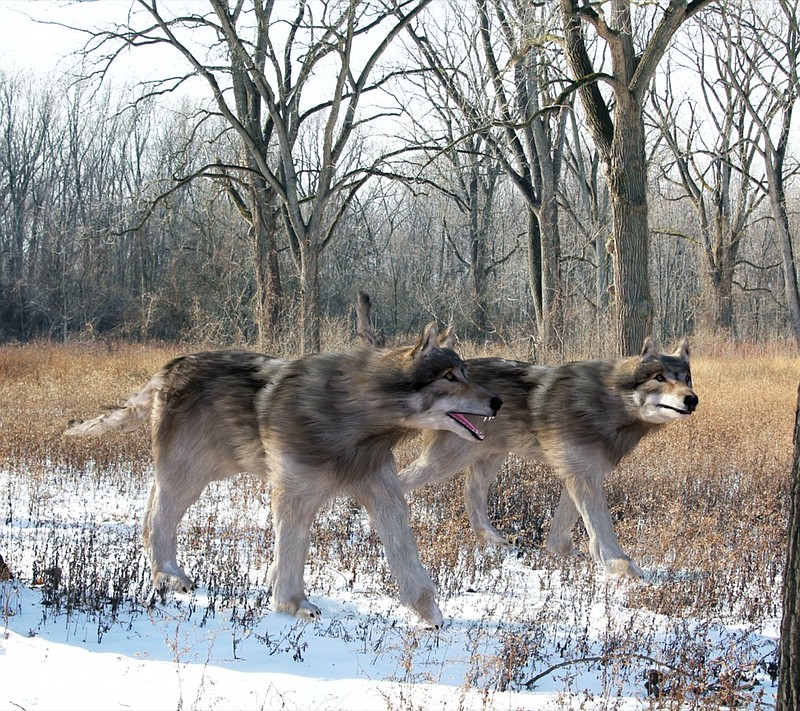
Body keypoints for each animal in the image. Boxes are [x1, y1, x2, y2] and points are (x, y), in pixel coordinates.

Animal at [65, 324, 502, 626]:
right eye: (449, 377)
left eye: (466, 372)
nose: (498, 401)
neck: (356, 415)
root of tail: (168, 368)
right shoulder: (292, 496)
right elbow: (293, 551)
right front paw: (292, 605)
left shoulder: (385, 495)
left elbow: (405, 554)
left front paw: (430, 614)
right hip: (188, 478)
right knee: (160, 520)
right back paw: (168, 577)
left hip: (198, 474)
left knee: (150, 512)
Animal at [398, 338, 698, 579]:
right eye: (659, 378)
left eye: (686, 378)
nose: (692, 399)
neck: (608, 403)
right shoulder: (583, 476)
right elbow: (602, 529)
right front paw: (621, 567)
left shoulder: (581, 473)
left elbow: (564, 525)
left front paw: (562, 553)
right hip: (446, 462)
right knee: (401, 480)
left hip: (489, 457)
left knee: (471, 491)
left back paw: (494, 541)